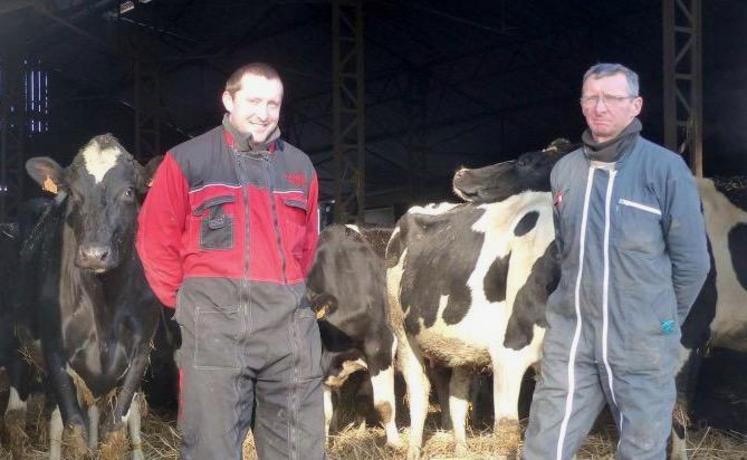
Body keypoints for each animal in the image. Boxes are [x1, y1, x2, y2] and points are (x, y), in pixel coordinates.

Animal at [9, 134, 162, 460]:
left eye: (129, 191)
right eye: (74, 193)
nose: (94, 254)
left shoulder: (141, 350)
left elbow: (115, 428)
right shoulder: (55, 350)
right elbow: (73, 430)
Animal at [386, 141, 572, 460]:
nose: (463, 171)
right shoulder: (509, 354)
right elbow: (508, 435)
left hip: (462, 343)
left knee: (457, 395)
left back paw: (461, 449)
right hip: (402, 329)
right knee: (419, 391)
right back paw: (413, 449)